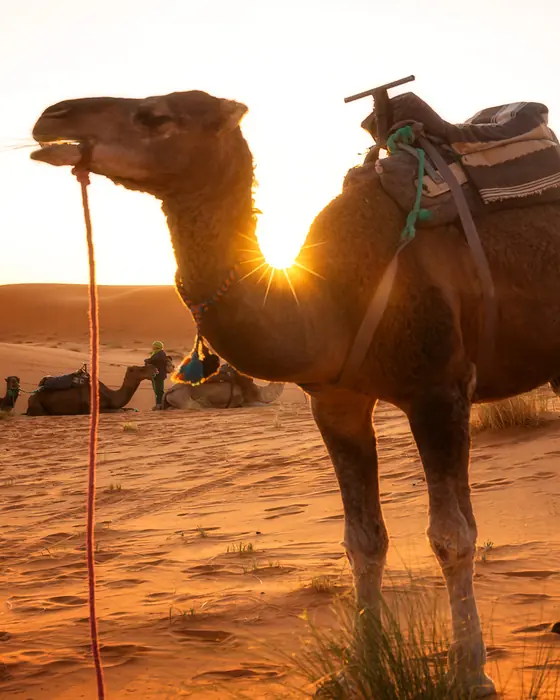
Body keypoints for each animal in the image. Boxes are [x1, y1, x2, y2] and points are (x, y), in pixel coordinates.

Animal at [26, 365, 156, 416]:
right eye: (140, 369)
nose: (154, 369)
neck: (110, 396)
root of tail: (30, 397)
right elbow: (120, 410)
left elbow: (130, 409)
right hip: (38, 407)